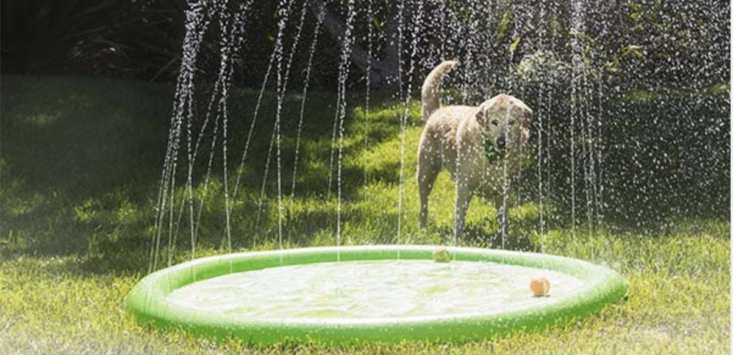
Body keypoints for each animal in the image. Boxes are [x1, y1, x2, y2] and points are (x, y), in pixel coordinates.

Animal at [418, 61, 532, 239]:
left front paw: (504, 239)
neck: (491, 156)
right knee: (424, 204)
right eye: (494, 122)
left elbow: (503, 218)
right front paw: (458, 239)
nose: (501, 142)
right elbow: (459, 216)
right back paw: (422, 227)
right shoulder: (464, 186)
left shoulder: (504, 189)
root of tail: (437, 111)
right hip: (426, 173)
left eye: (511, 122)